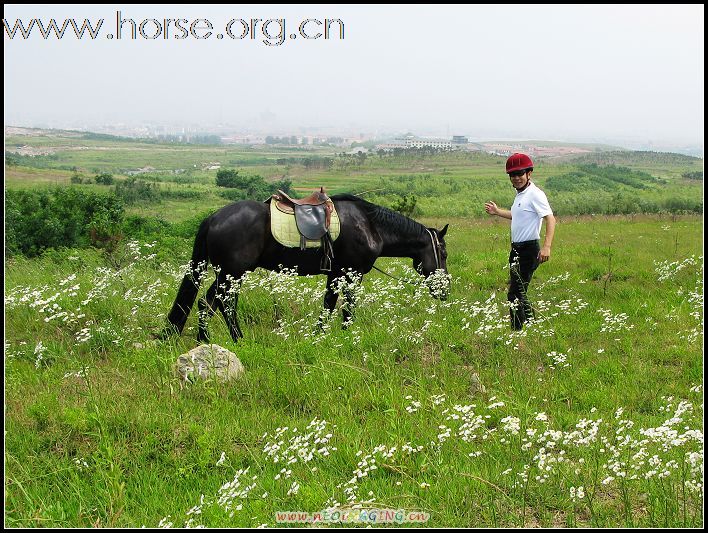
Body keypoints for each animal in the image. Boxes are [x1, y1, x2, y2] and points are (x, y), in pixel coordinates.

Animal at [162, 193, 448, 342]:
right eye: (443, 254)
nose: (444, 292)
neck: (370, 226)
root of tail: (213, 218)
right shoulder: (351, 275)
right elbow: (346, 308)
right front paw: (344, 335)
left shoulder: (335, 275)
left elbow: (328, 306)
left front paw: (319, 336)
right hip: (233, 272)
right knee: (223, 304)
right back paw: (235, 338)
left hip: (226, 273)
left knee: (207, 303)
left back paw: (205, 341)